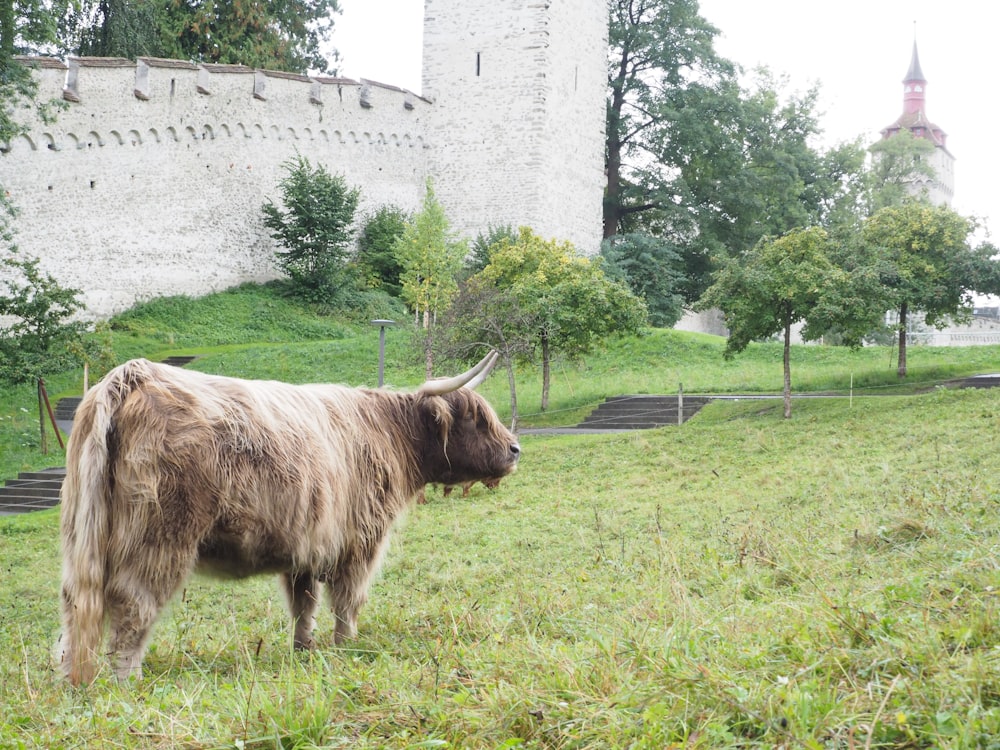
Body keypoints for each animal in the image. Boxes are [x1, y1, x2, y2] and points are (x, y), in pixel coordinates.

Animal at [57, 352, 520, 688]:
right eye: (475, 419)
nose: (515, 449)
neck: (389, 434)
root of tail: (131, 376)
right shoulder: (360, 543)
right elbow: (348, 602)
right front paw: (347, 647)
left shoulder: (307, 547)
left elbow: (303, 605)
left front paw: (305, 651)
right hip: (160, 539)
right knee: (134, 605)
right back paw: (127, 680)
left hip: (83, 536)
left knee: (77, 604)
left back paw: (69, 677)